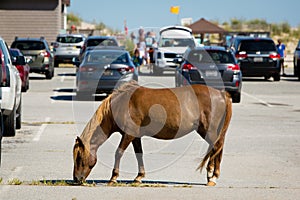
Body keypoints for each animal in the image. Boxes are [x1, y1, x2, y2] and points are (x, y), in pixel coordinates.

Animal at [72, 81, 232, 186]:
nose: (76, 179)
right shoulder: (135, 136)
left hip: (209, 131)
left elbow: (118, 153)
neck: (120, 104)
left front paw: (113, 177)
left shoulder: (128, 135)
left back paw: (212, 177)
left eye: (79, 157)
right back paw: (212, 176)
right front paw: (139, 177)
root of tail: (221, 94)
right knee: (217, 149)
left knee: (216, 148)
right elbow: (139, 154)